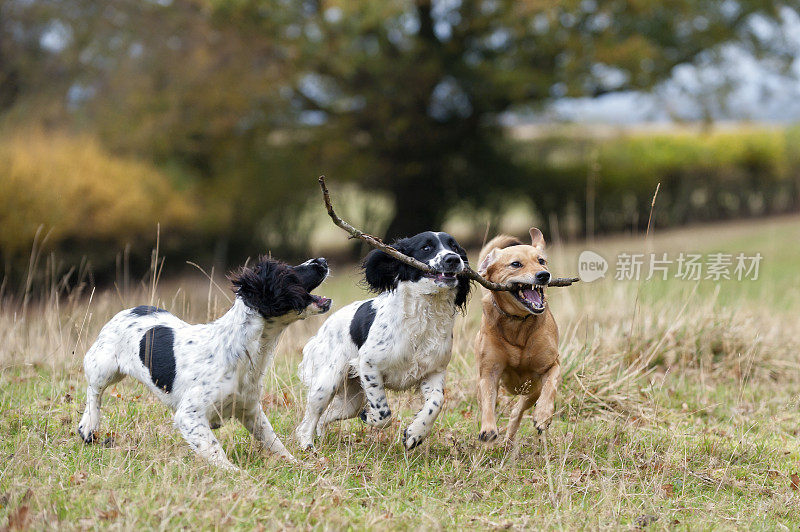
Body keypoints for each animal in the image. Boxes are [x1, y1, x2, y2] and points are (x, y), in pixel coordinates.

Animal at [476, 229, 564, 444]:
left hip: (531, 390)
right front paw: (488, 428)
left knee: (517, 411)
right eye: (516, 264)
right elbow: (488, 399)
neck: (517, 321)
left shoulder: (551, 366)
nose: (544, 275)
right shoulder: (488, 372)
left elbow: (551, 385)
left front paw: (543, 415)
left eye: (541, 260)